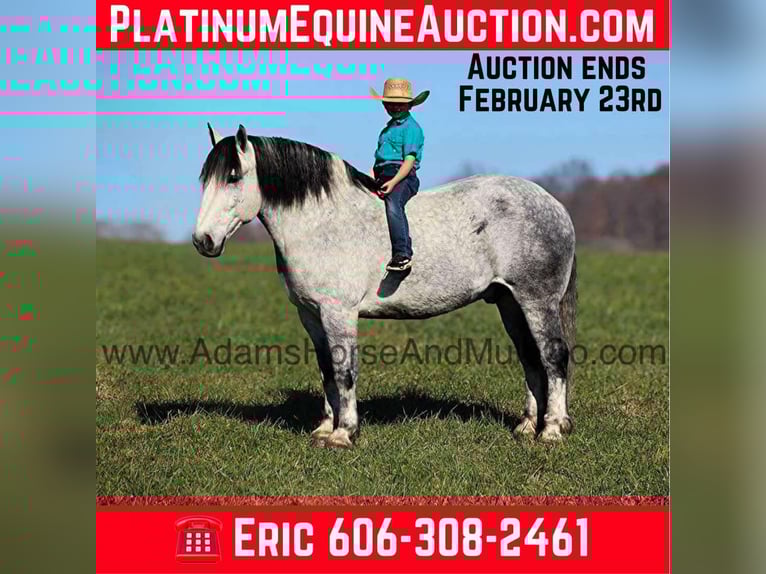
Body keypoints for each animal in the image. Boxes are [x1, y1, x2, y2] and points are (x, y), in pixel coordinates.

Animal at [193, 123, 577, 448]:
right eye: (204, 179)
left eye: (232, 177)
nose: (202, 241)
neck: (322, 222)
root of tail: (555, 205)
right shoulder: (311, 315)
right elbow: (326, 370)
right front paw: (324, 429)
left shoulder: (339, 313)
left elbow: (344, 371)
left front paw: (344, 434)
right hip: (510, 303)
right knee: (531, 359)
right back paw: (527, 426)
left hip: (537, 300)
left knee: (554, 357)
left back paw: (552, 429)